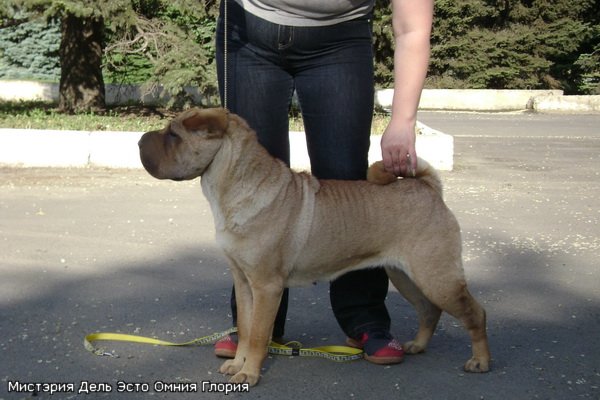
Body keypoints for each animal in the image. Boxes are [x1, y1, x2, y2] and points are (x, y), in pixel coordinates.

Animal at [138, 107, 490, 386]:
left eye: (173, 135)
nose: (140, 140)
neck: (235, 187)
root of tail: (428, 188)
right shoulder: (244, 282)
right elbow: (245, 327)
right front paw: (237, 365)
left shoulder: (267, 286)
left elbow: (258, 335)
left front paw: (249, 374)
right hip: (406, 275)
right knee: (429, 310)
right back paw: (417, 345)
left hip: (437, 276)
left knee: (475, 314)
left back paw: (480, 361)